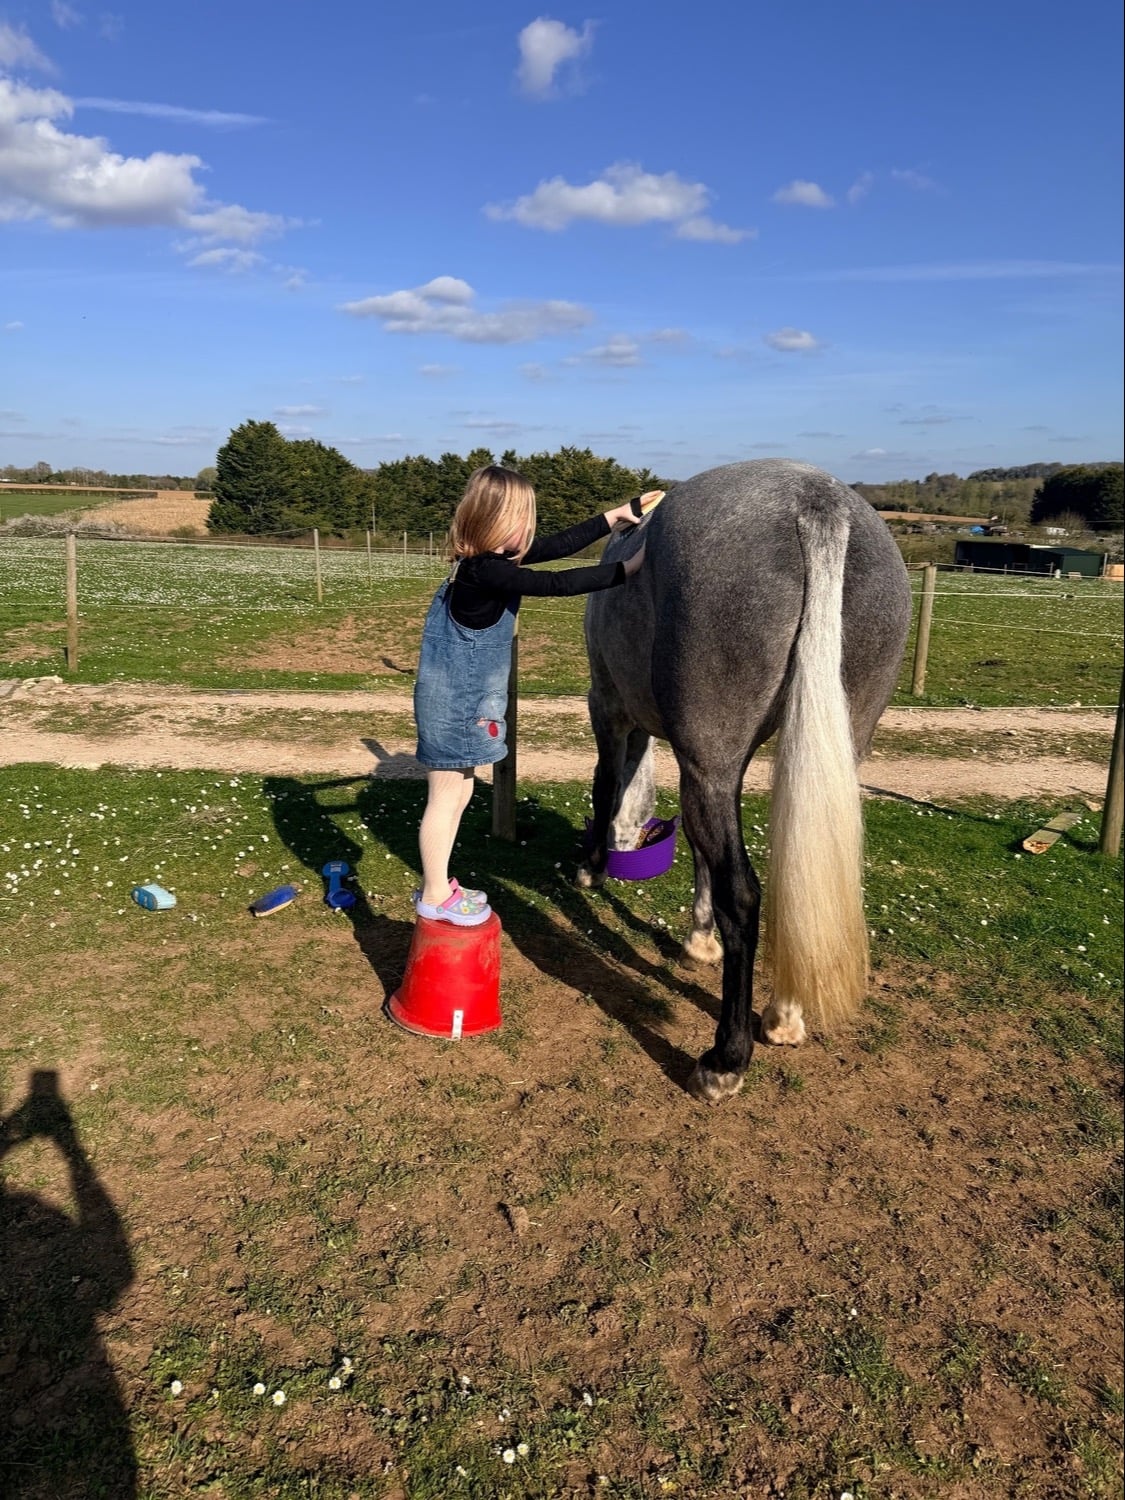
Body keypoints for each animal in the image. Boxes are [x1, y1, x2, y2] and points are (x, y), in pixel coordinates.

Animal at [579, 459, 912, 1103]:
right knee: (799, 874)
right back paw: (784, 1015)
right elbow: (699, 849)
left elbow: (607, 786)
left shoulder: (614, 712)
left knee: (746, 896)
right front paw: (699, 940)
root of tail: (819, 504)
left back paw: (726, 1059)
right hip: (837, 746)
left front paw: (591, 867)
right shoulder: (704, 763)